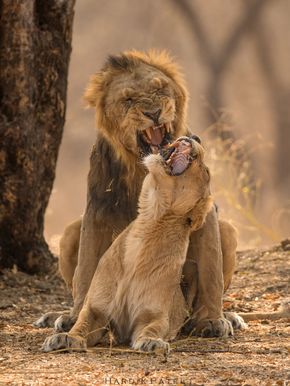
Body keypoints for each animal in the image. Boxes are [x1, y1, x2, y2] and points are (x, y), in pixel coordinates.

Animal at [41, 136, 213, 352]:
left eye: (206, 172)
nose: (196, 137)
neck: (150, 225)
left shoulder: (153, 315)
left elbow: (153, 328)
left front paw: (151, 342)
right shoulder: (96, 309)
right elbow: (82, 323)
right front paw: (64, 338)